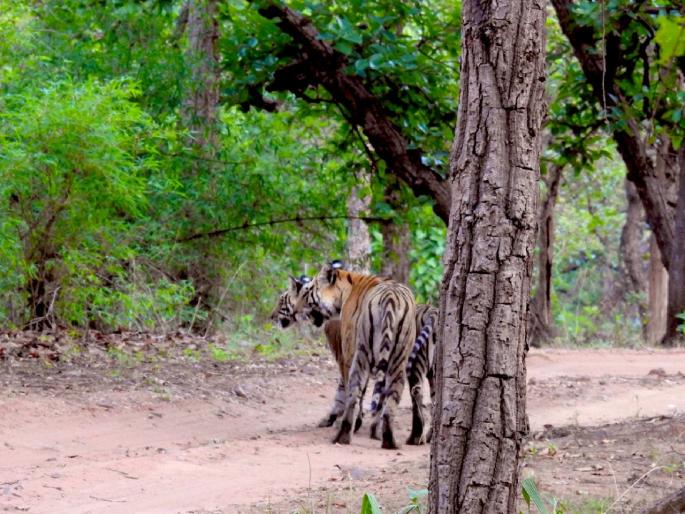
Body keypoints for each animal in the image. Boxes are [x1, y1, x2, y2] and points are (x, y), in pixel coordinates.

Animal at [298, 261, 417, 449]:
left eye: (308, 291)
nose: (297, 309)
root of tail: (390, 297)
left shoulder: (347, 355)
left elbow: (345, 390)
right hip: (399, 360)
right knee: (390, 403)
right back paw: (389, 442)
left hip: (361, 355)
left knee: (353, 394)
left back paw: (342, 437)